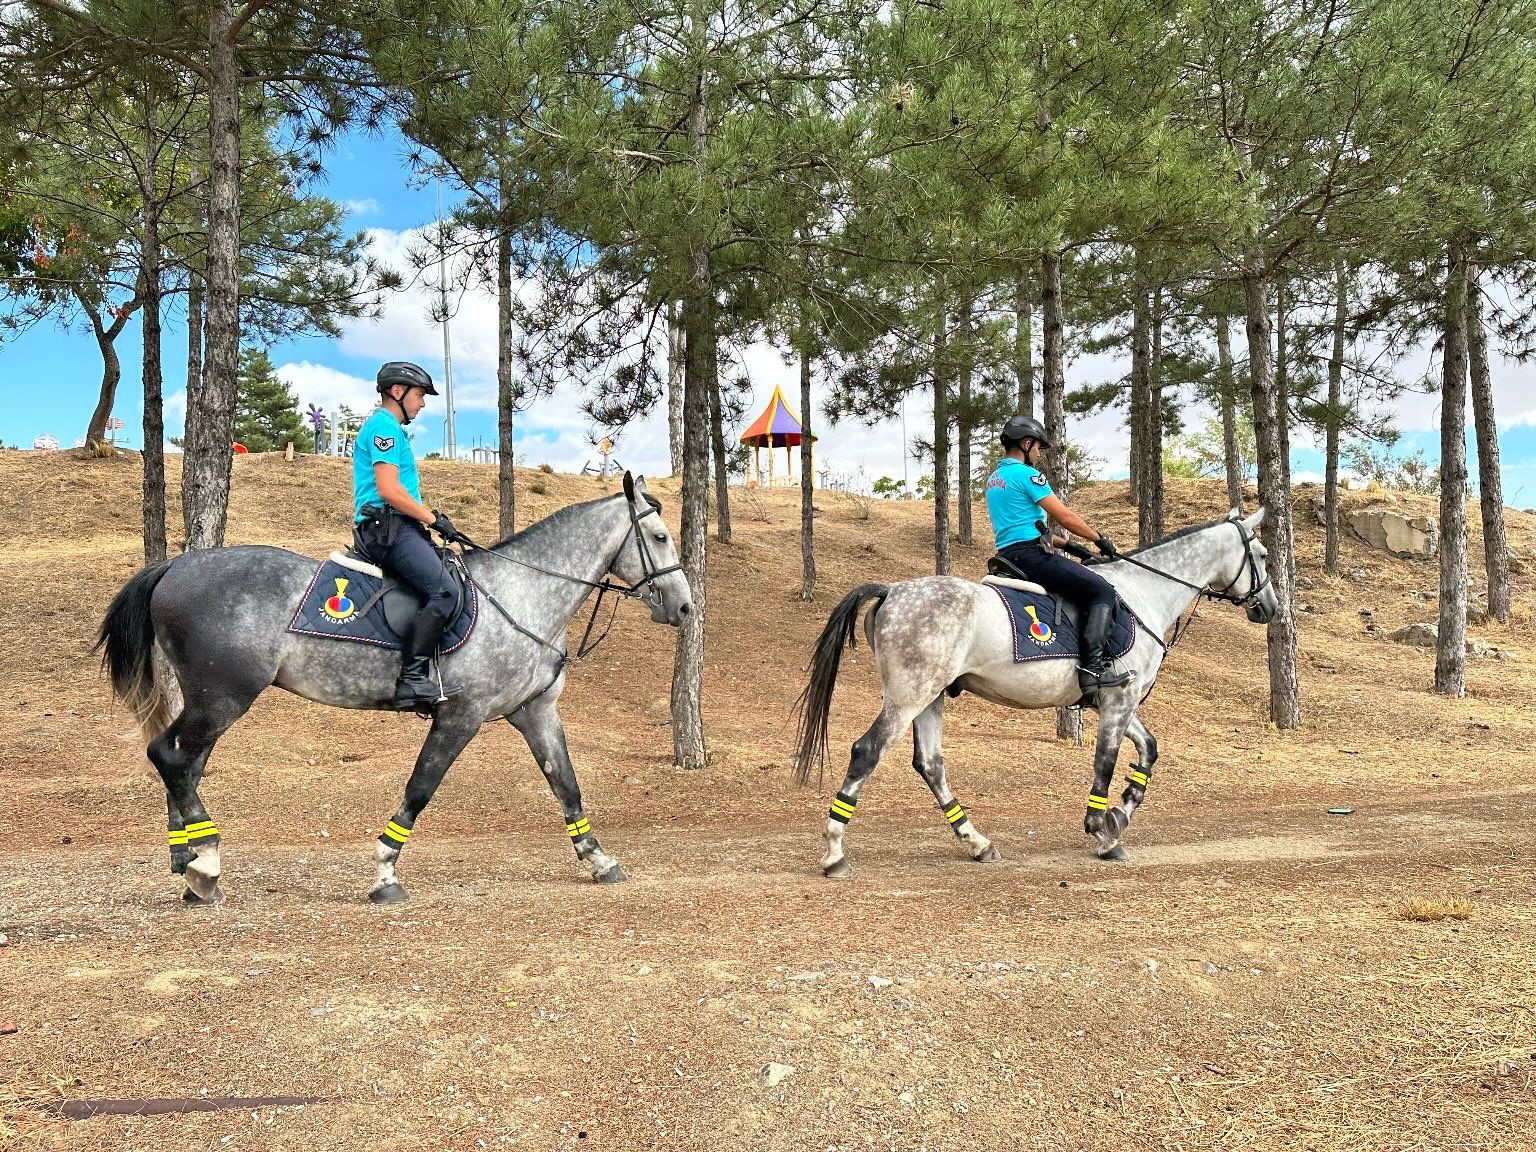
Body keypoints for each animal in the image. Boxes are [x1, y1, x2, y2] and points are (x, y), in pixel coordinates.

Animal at [97, 473, 691, 909]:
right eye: (661, 537)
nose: (685, 608)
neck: (523, 593)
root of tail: (178, 564)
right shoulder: (461, 715)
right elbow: (420, 789)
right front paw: (384, 873)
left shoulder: (535, 711)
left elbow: (566, 784)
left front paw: (599, 859)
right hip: (221, 696)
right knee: (171, 756)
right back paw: (205, 863)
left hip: (212, 700)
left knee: (183, 763)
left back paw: (191, 863)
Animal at [798, 509, 1277, 878]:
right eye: (1263, 555)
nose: (1270, 608)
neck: (1144, 592)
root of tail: (892, 589)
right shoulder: (1119, 701)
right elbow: (1105, 761)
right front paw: (1103, 831)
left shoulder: (1115, 700)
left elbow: (1148, 751)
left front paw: (1120, 813)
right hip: (909, 696)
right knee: (867, 751)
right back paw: (835, 853)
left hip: (930, 698)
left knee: (931, 765)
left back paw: (977, 843)